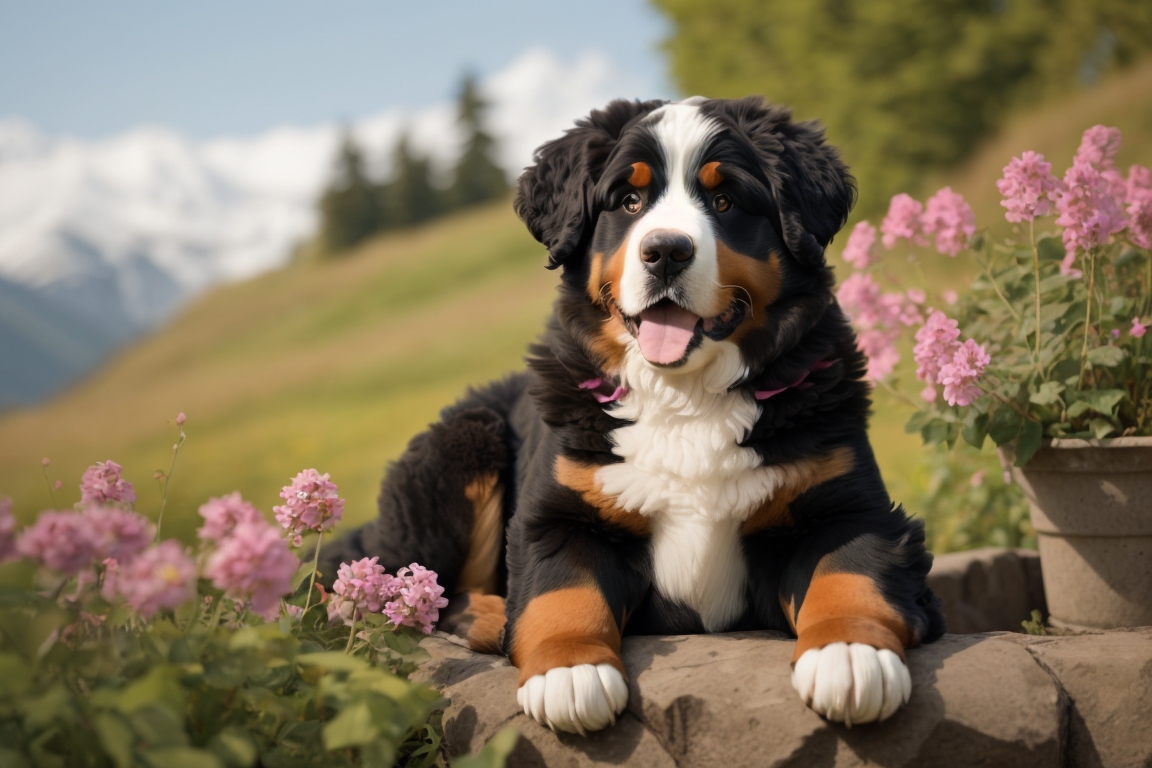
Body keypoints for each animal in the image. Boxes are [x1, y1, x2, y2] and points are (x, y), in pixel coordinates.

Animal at [322, 94, 944, 732]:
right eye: (629, 201)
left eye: (725, 200)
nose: (666, 251)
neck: (686, 396)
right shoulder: (559, 516)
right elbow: (562, 594)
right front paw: (569, 674)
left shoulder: (849, 503)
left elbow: (847, 573)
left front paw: (851, 655)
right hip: (468, 439)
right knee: (397, 593)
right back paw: (493, 618)